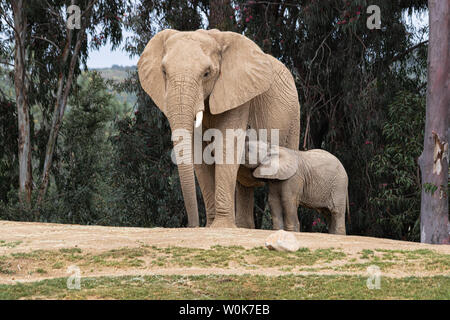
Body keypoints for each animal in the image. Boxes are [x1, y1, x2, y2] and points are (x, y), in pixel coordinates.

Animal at [137, 27, 298, 228]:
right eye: (164, 72)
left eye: (207, 73)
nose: (192, 225)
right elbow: (199, 153)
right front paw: (210, 226)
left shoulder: (238, 93)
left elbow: (227, 145)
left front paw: (220, 226)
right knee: (245, 185)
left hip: (294, 117)